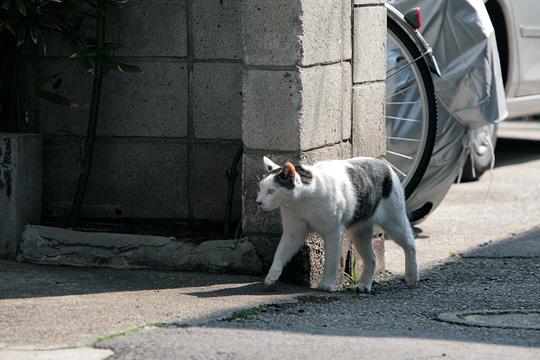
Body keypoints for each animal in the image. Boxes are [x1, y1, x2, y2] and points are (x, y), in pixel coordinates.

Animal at [256, 156, 418, 292]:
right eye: (260, 189)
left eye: (271, 191)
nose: (258, 202)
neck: (301, 202)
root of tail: (383, 162)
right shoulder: (293, 234)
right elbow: (280, 254)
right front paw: (271, 276)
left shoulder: (333, 233)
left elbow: (331, 260)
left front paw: (327, 284)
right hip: (359, 233)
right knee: (372, 258)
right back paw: (364, 285)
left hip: (394, 222)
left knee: (410, 245)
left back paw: (412, 277)